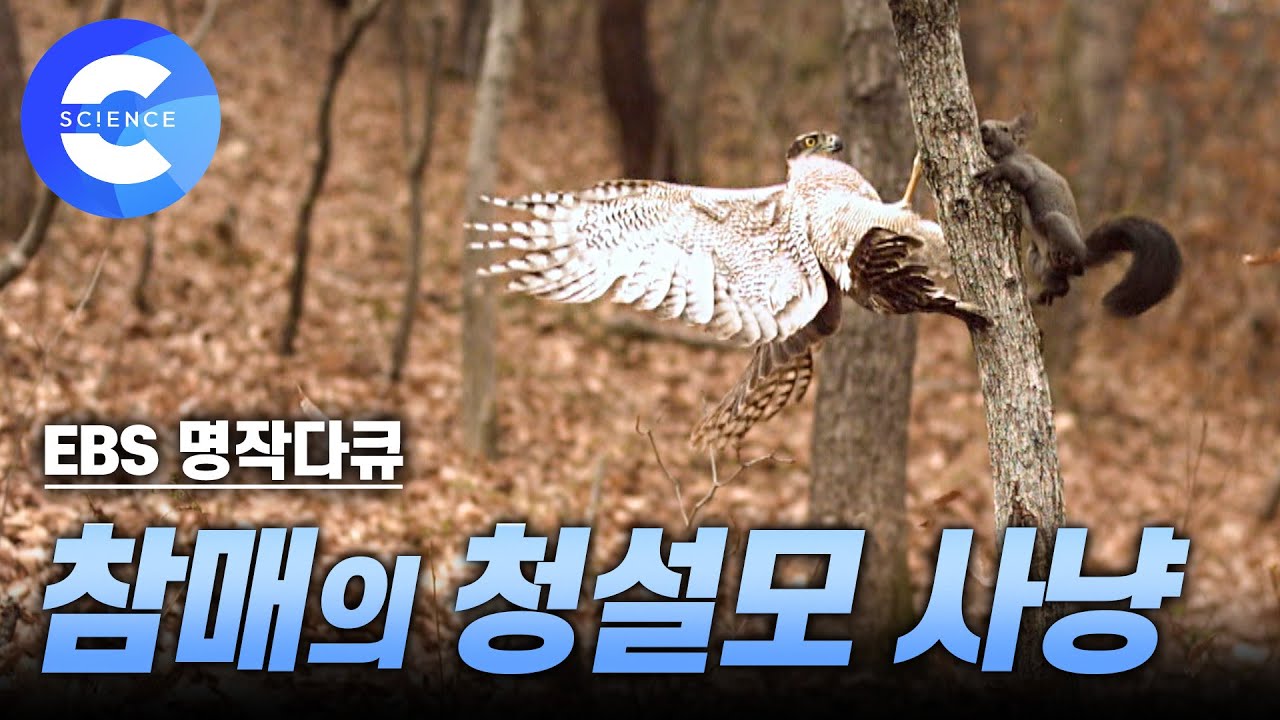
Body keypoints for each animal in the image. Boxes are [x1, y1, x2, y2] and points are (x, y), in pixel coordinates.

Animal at [973, 112, 1183, 316]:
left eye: (1005, 129)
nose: (983, 127)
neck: (1012, 153)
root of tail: (1084, 252)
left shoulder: (1026, 168)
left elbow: (1020, 177)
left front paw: (993, 172)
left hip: (1056, 223)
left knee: (1074, 269)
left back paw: (1068, 263)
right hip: (1036, 257)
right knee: (1062, 286)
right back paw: (1045, 294)